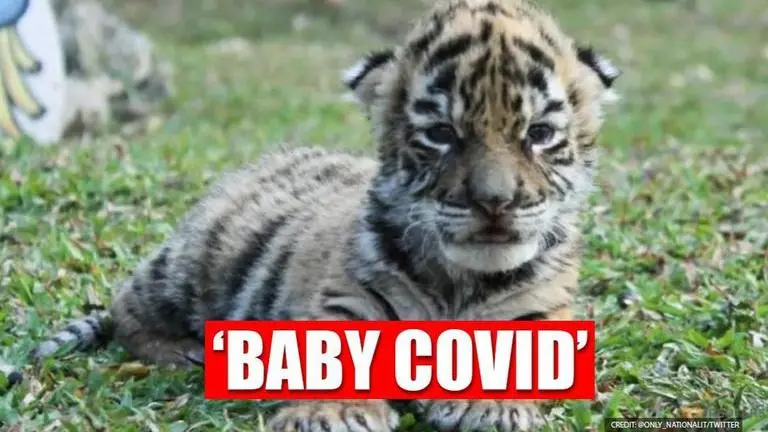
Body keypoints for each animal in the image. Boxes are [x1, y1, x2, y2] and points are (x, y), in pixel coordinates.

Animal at [29, 0, 620, 430]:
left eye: (538, 134)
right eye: (441, 134)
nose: (495, 201)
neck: (460, 280)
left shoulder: (542, 313)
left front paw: (488, 405)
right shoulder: (347, 299)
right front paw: (332, 414)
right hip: (191, 265)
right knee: (127, 308)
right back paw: (187, 352)